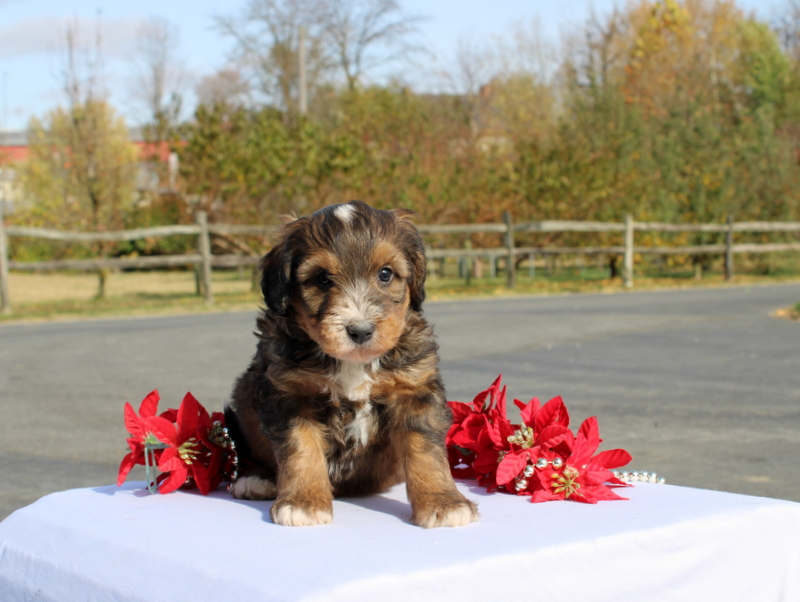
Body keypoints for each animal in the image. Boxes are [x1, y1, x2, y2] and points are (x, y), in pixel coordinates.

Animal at [222, 200, 478, 524]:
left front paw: (443, 503)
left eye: (385, 274)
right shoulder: (290, 395)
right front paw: (303, 501)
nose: (360, 331)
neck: (353, 363)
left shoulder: (414, 388)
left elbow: (426, 453)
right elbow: (301, 450)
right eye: (322, 278)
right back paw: (254, 479)